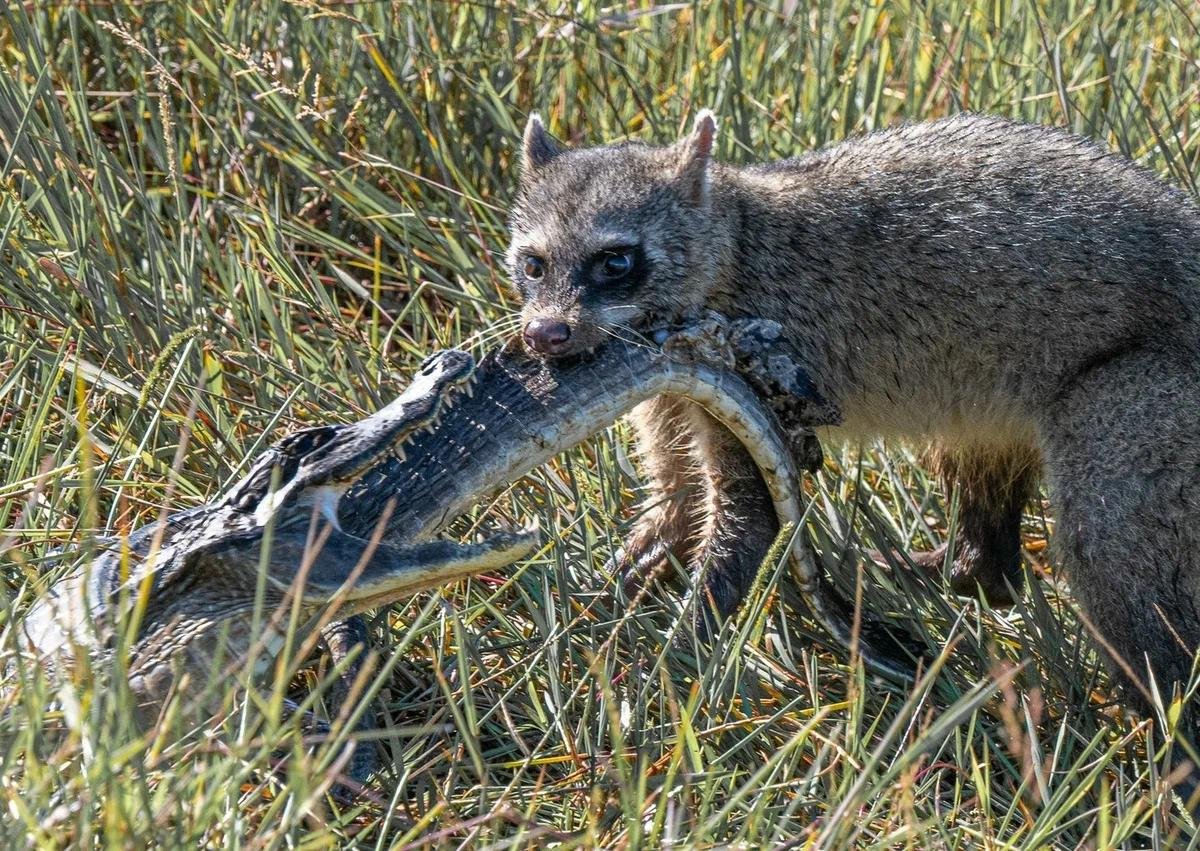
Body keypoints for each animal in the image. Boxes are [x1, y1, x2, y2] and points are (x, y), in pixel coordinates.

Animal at [504, 109, 1200, 724]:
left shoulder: (749, 377)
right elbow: (677, 493)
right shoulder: (672, 389)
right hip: (991, 395)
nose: (544, 335)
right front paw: (632, 577)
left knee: (1117, 556)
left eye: (616, 261)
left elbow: (747, 518)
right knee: (983, 493)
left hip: (1132, 405)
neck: (735, 239)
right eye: (533, 264)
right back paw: (970, 566)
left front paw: (673, 662)